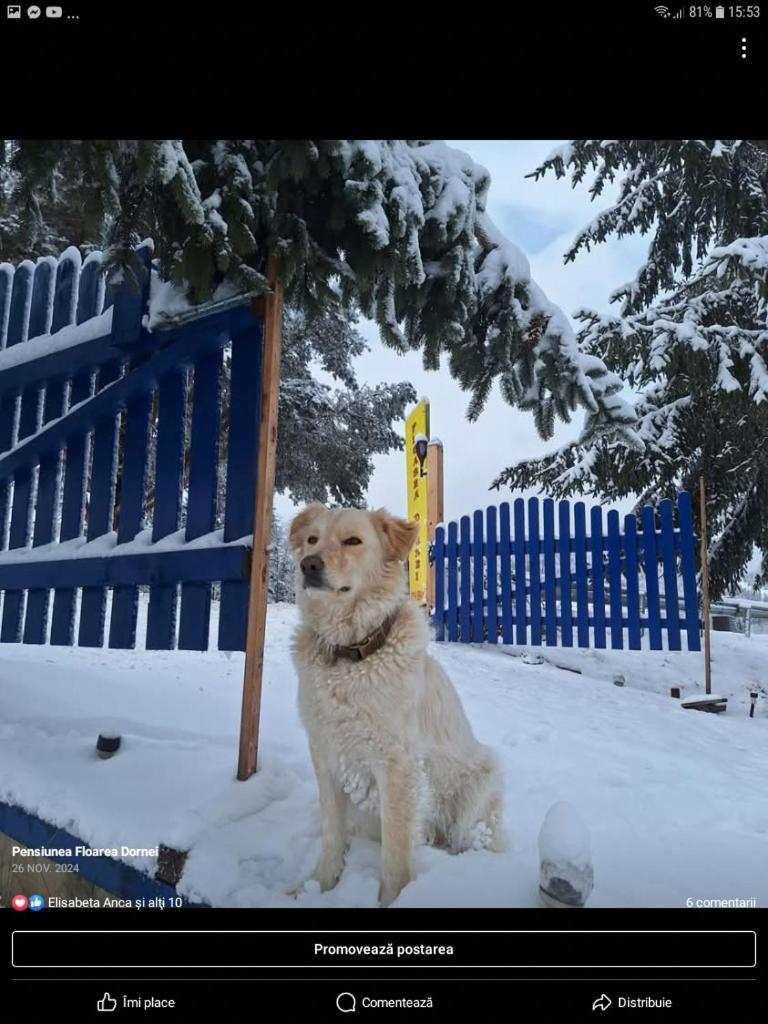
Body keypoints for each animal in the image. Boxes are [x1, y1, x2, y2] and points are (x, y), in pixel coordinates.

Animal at [288, 503, 505, 905]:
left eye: (352, 541)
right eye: (311, 539)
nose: (308, 565)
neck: (349, 656)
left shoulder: (397, 765)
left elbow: (396, 854)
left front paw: (392, 898)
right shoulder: (325, 755)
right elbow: (332, 834)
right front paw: (317, 887)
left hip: (481, 785)